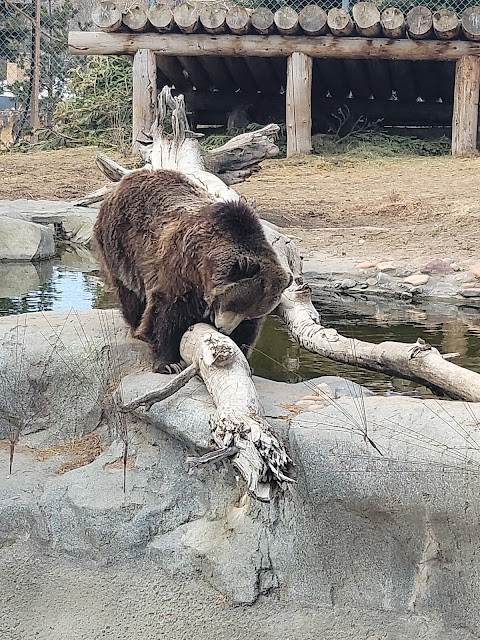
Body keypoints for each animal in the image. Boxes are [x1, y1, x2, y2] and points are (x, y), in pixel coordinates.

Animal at [92, 170, 290, 372]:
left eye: (248, 312)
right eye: (234, 304)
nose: (224, 329)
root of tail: (123, 182)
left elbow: (248, 332)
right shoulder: (182, 268)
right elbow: (168, 311)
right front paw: (168, 363)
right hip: (121, 246)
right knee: (129, 291)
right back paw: (136, 326)